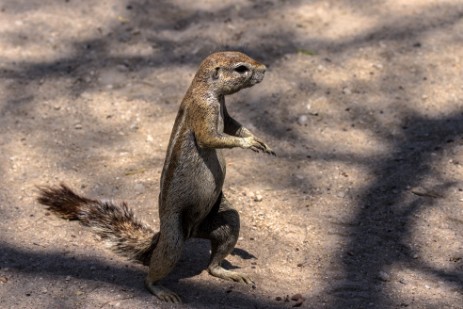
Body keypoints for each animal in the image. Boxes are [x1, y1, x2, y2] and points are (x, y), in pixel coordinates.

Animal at [38, 51, 276, 302]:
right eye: (241, 68)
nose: (264, 68)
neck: (208, 90)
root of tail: (188, 233)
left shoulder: (225, 113)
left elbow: (232, 125)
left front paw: (258, 140)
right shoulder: (203, 110)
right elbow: (211, 137)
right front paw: (247, 142)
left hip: (223, 218)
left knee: (215, 260)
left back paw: (225, 271)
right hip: (173, 237)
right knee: (157, 267)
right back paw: (160, 289)